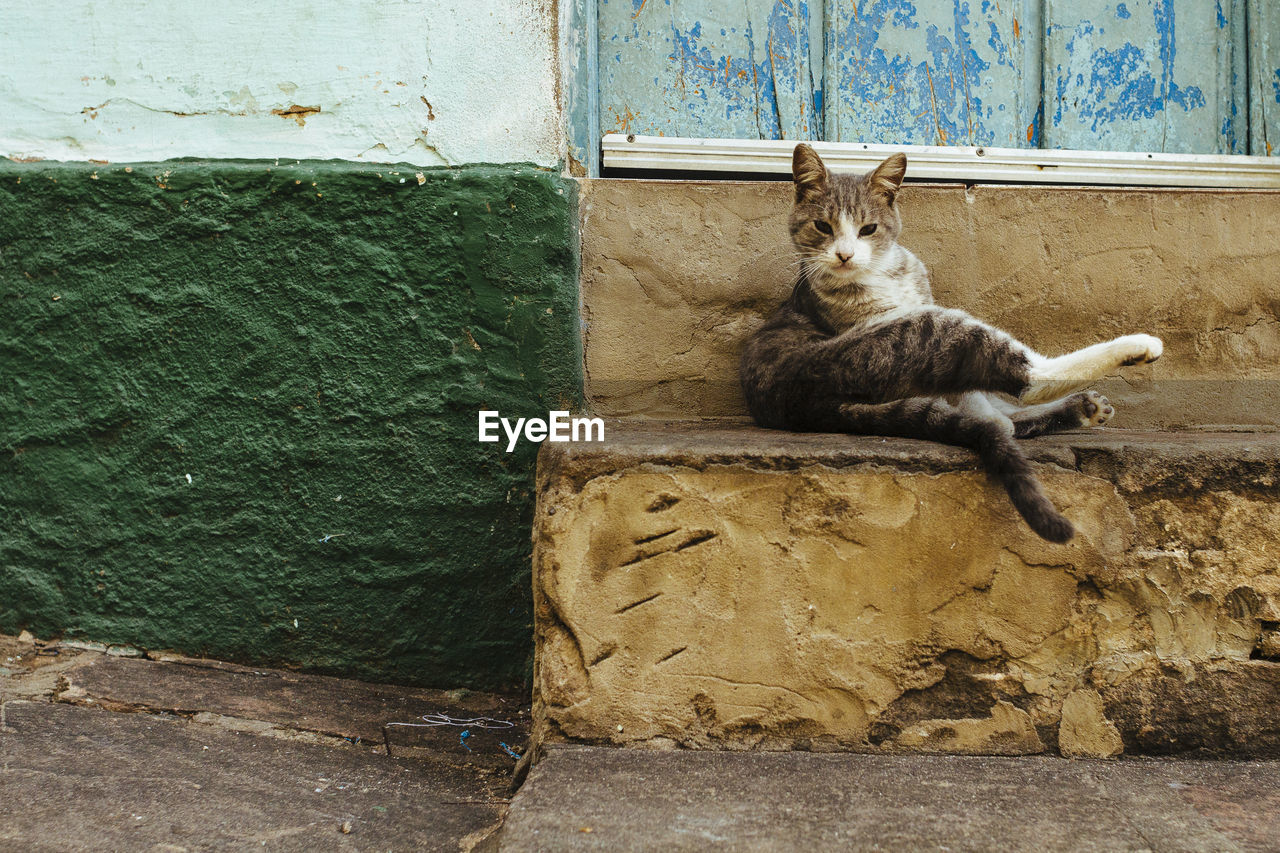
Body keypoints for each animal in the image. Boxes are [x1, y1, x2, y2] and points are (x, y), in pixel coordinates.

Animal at [737, 139, 1167, 537]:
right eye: (823, 227)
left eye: (868, 229)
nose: (844, 255)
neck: (886, 274)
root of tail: (810, 405)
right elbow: (990, 400)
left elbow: (978, 401)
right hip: (919, 334)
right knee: (1027, 379)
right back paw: (1131, 349)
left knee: (1004, 405)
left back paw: (1081, 408)